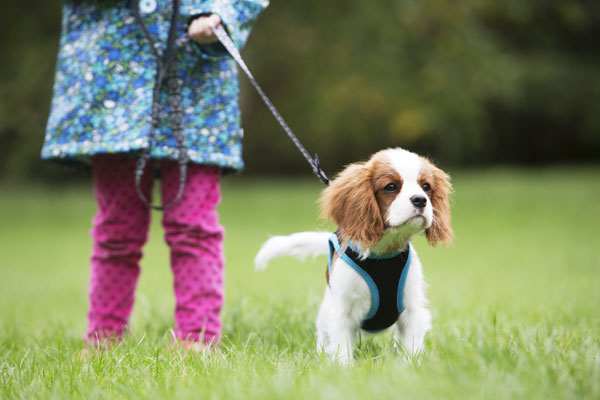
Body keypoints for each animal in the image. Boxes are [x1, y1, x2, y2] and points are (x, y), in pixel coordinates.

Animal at [254, 148, 454, 364]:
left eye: (426, 187)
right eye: (391, 187)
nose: (420, 200)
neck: (384, 253)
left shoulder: (413, 310)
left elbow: (411, 347)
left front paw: (410, 366)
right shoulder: (342, 313)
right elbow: (342, 350)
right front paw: (344, 368)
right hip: (326, 313)